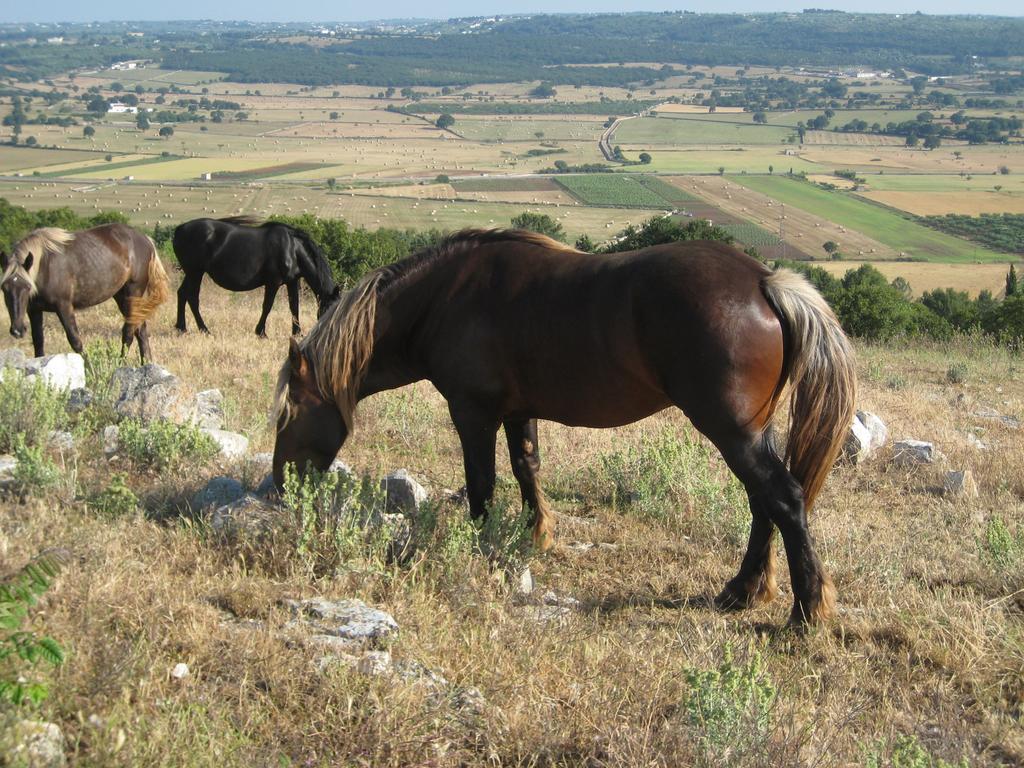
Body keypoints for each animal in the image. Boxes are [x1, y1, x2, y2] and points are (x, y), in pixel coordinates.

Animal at [2, 224, 169, 362]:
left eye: (27, 287)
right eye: (4, 288)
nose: (17, 330)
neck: (45, 266)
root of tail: (146, 240)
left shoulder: (64, 306)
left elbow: (75, 340)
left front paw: (89, 369)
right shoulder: (34, 310)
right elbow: (38, 342)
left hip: (132, 293)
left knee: (128, 332)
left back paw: (120, 364)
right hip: (121, 296)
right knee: (140, 330)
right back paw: (146, 364)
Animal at [172, 217, 339, 335]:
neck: (292, 248)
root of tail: (179, 229)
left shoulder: (292, 282)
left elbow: (294, 307)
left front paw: (297, 333)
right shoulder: (273, 282)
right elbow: (267, 306)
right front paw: (261, 332)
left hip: (192, 273)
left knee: (182, 294)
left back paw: (182, 328)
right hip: (195, 272)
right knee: (192, 297)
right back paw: (204, 329)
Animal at [272, 231, 856, 626]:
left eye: (287, 412)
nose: (278, 485)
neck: (443, 298)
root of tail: (764, 281)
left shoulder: (473, 412)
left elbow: (482, 485)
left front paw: (485, 553)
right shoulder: (516, 411)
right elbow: (526, 468)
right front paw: (536, 536)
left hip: (732, 430)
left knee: (783, 499)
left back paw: (806, 611)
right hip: (750, 432)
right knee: (764, 503)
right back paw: (742, 591)